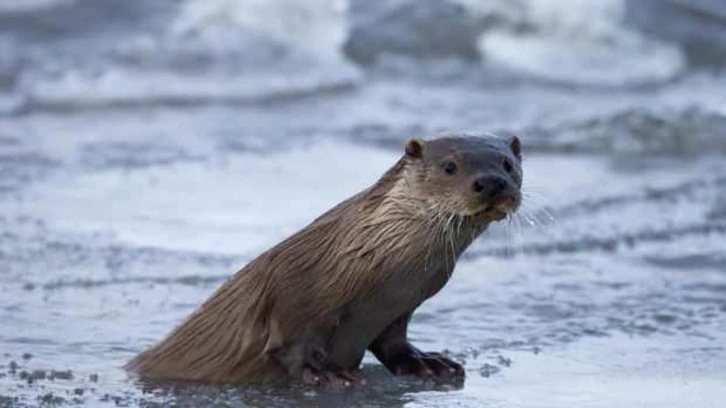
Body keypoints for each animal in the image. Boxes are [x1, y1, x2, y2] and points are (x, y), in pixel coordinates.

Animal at [126, 135, 524, 388]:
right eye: (450, 166)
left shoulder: (398, 308)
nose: (491, 182)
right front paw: (330, 374)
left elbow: (393, 342)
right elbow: (291, 345)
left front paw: (428, 363)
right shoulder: (293, 292)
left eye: (507, 163)